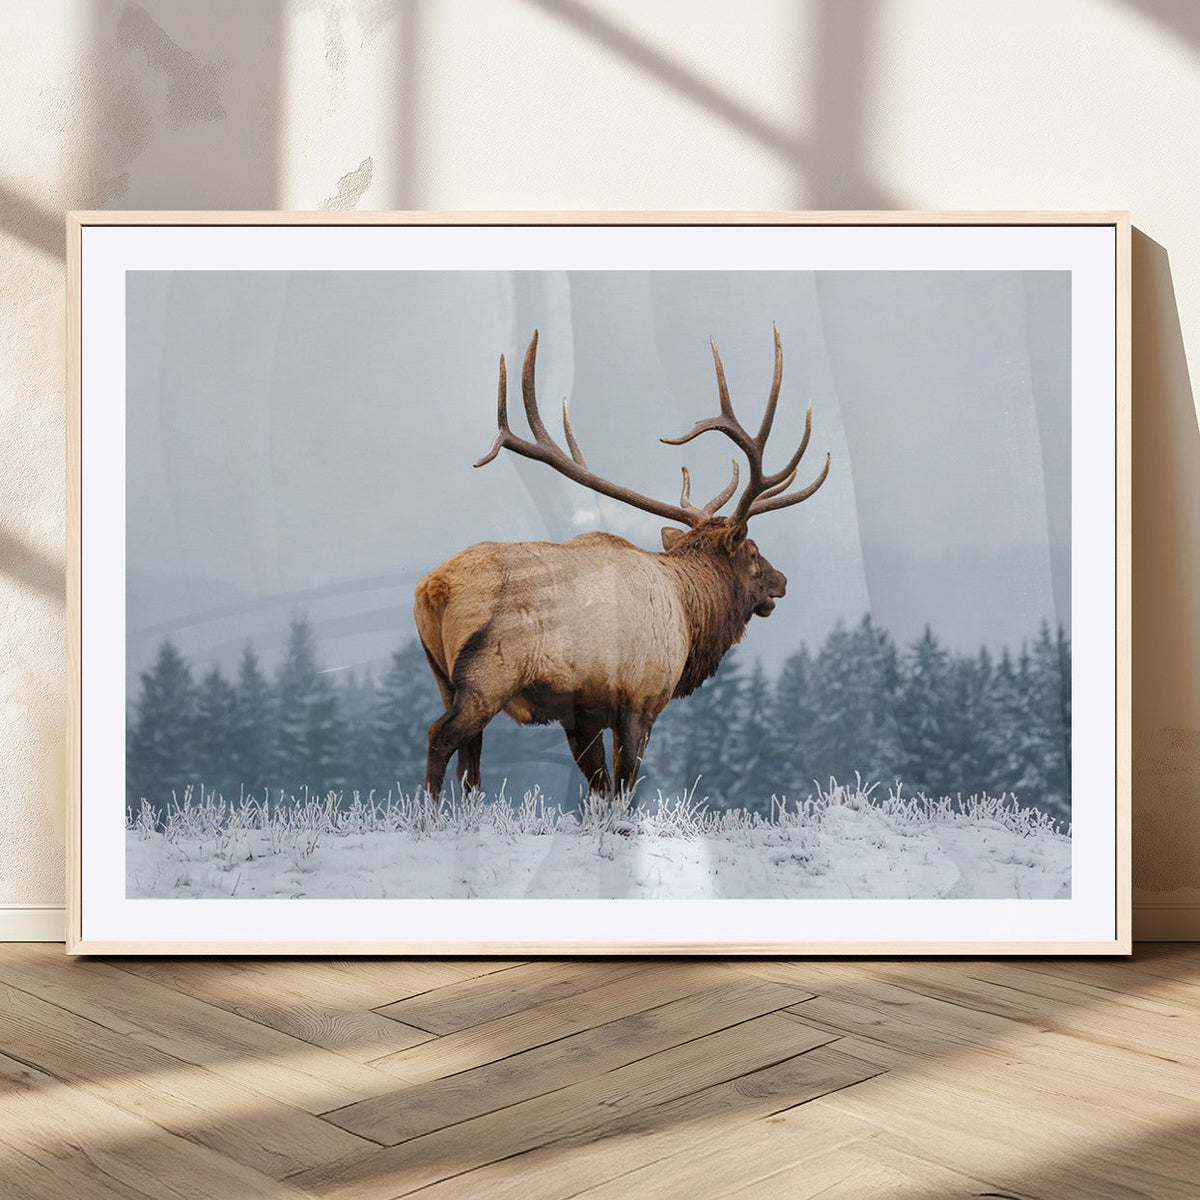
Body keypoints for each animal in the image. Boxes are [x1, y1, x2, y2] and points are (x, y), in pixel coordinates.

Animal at [414, 324, 830, 803]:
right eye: (754, 552)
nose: (782, 581)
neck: (689, 616)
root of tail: (434, 588)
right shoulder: (640, 697)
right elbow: (625, 787)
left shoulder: (582, 715)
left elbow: (599, 787)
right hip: (488, 674)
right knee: (440, 736)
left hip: (442, 677)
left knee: (470, 763)